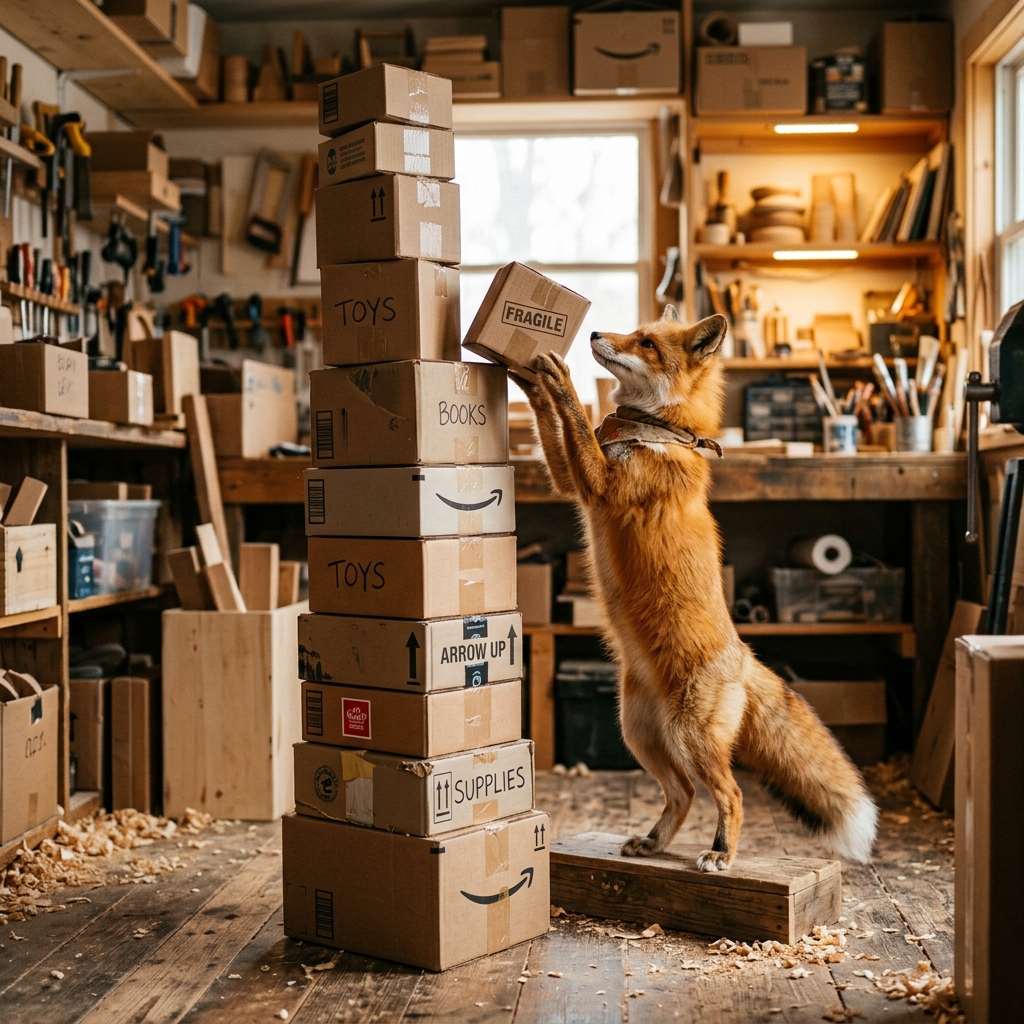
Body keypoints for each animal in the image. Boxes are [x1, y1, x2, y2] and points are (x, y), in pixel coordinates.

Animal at [511, 306, 877, 871]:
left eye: (645, 343)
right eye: (633, 333)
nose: (594, 333)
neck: (660, 432)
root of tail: (743, 655)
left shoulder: (600, 485)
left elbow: (572, 419)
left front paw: (560, 378)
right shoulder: (574, 485)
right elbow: (554, 429)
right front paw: (530, 382)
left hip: (691, 739)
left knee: (731, 794)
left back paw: (721, 854)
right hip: (640, 734)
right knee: (681, 795)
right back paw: (655, 842)